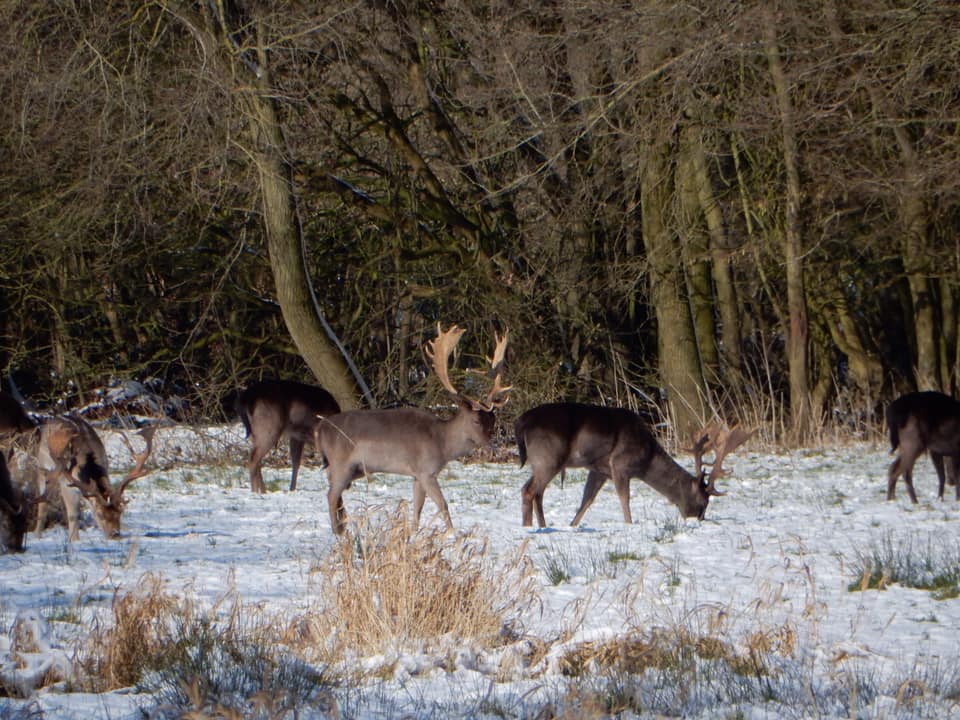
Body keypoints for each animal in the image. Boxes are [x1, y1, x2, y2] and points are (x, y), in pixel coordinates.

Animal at [316, 324, 510, 536]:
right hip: (341, 463)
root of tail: (320, 428)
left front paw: (414, 533)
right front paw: (452, 533)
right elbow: (443, 505)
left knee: (335, 492)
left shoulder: (417, 475)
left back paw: (342, 527)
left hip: (351, 468)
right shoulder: (426, 471)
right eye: (475, 420)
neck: (442, 444)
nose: (494, 449)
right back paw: (337, 533)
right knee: (331, 494)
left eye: (492, 420)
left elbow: (418, 507)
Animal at [512, 404, 752, 528]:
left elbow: (587, 500)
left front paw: (572, 525)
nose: (699, 519)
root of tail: (521, 422)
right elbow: (624, 498)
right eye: (704, 501)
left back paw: (542, 526)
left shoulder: (599, 470)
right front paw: (629, 524)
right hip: (548, 456)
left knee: (535, 492)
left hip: (543, 461)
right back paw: (529, 527)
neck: (646, 457)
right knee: (529, 490)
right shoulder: (620, 464)